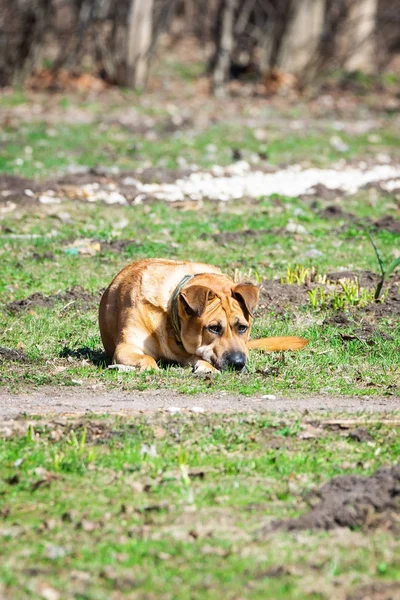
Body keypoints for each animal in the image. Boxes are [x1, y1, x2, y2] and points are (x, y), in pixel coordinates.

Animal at [99, 256, 306, 370]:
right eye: (213, 328)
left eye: (242, 327)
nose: (239, 363)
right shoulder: (126, 347)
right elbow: (146, 359)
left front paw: (206, 368)